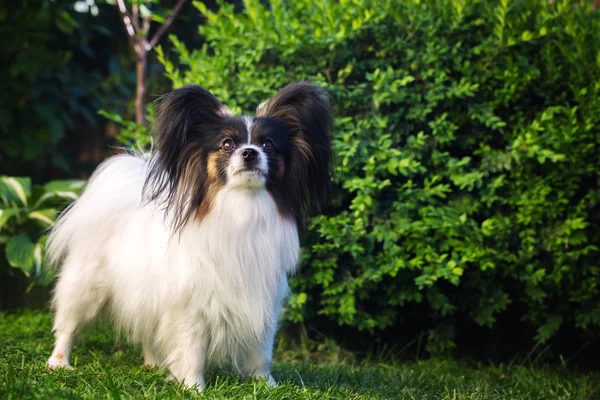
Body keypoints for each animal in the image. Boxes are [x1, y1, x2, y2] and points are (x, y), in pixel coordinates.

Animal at [47, 82, 336, 390]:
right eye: (227, 144)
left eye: (268, 144)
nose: (249, 152)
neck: (241, 209)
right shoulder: (191, 307)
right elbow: (192, 349)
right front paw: (193, 387)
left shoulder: (262, 302)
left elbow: (262, 352)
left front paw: (265, 384)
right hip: (86, 288)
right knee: (67, 325)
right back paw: (58, 362)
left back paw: (153, 364)